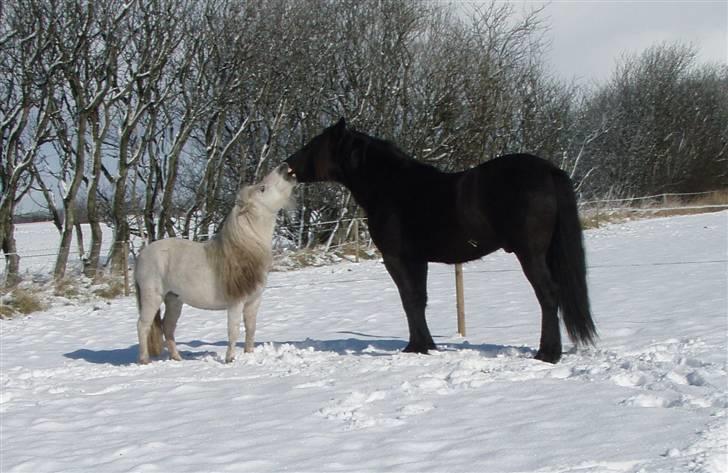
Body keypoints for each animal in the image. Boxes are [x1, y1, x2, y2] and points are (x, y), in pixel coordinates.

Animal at [134, 164, 296, 364]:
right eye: (262, 188)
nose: (284, 167)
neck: (243, 251)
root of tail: (142, 255)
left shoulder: (253, 302)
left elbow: (250, 329)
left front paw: (249, 354)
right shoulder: (236, 303)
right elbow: (233, 330)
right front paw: (230, 359)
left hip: (174, 300)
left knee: (168, 327)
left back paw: (177, 358)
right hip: (152, 297)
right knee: (143, 325)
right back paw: (144, 360)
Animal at [286, 117, 596, 362]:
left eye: (314, 144)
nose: (287, 165)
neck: (392, 188)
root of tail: (548, 171)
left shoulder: (396, 258)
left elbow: (409, 299)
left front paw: (415, 347)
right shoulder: (417, 260)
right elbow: (419, 299)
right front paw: (426, 346)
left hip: (530, 254)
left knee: (548, 294)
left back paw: (547, 354)